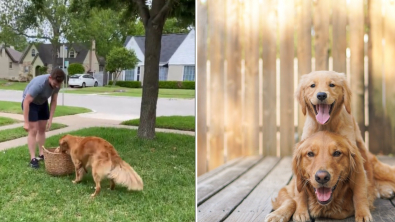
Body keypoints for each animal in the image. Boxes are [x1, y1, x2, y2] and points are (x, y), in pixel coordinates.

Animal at [264, 132, 395, 222]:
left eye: (337, 153)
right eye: (310, 153)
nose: (322, 177)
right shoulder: (286, 189)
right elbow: (291, 200)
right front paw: (278, 215)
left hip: (382, 170)